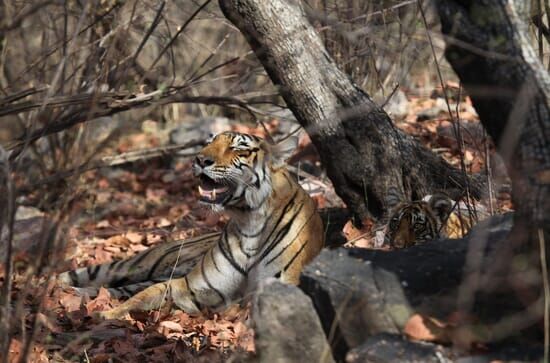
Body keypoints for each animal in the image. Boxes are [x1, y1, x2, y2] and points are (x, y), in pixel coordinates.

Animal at [57, 132, 324, 320]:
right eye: (209, 142)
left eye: (238, 147)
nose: (200, 159)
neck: (249, 222)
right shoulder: (189, 286)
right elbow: (140, 300)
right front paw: (104, 315)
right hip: (137, 263)